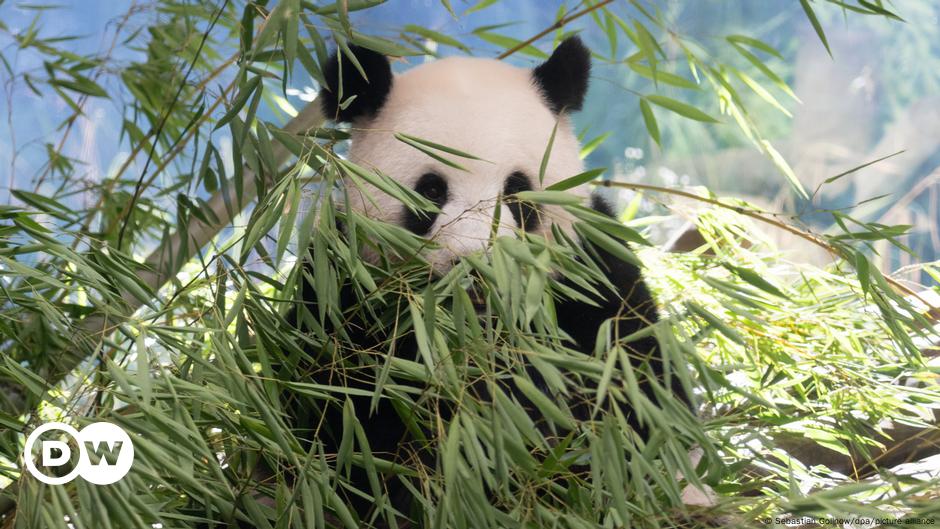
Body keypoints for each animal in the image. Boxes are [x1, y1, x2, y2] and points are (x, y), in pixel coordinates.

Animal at [290, 35, 692, 524]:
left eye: (517, 192)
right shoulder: (341, 289)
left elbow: (636, 400)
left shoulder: (594, 274)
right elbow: (348, 415)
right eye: (431, 190)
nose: (477, 267)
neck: (480, 329)